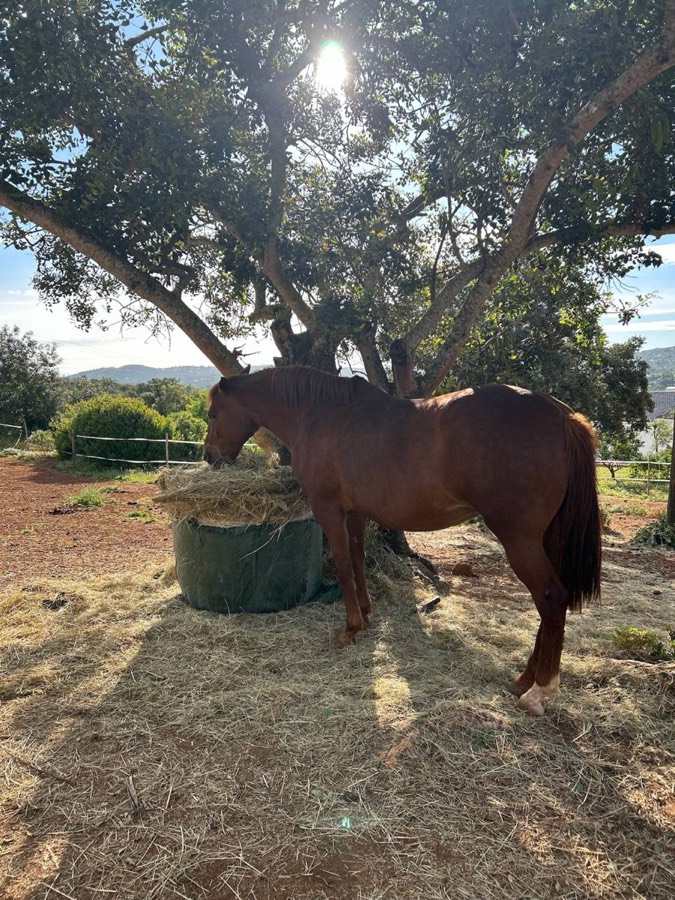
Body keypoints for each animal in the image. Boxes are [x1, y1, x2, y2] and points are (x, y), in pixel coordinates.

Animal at [204, 366, 601, 716]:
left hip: (520, 540)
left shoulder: (328, 509)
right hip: (545, 540)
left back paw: (539, 691)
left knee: (551, 598)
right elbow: (358, 559)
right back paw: (523, 679)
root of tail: (561, 415)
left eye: (211, 413)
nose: (209, 457)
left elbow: (343, 563)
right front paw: (365, 613)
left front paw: (350, 629)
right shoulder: (355, 512)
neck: (318, 415)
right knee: (550, 605)